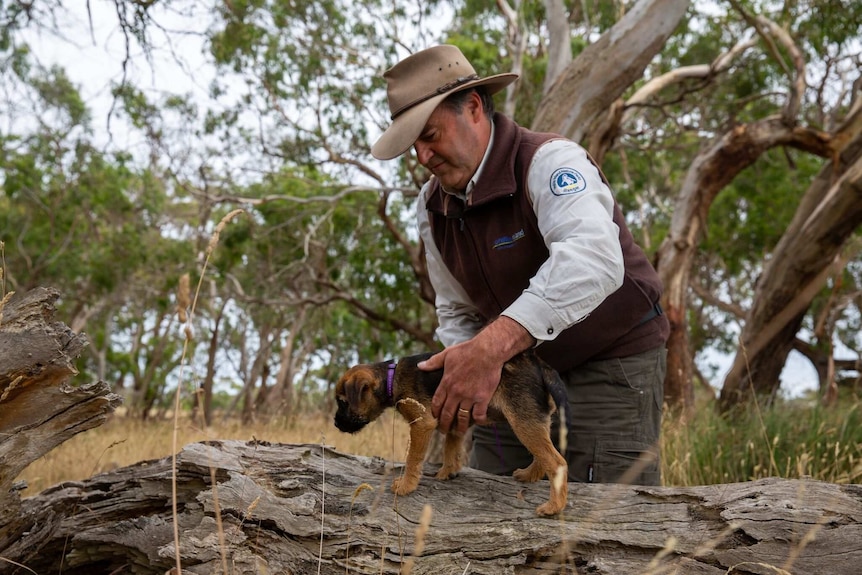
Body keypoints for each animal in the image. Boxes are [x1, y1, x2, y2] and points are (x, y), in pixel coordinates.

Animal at [334, 352, 572, 516]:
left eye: (343, 403)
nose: (336, 423)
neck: (391, 377)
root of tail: (539, 364)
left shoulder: (421, 424)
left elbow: (413, 459)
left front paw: (406, 486)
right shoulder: (456, 418)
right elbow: (451, 447)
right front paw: (447, 472)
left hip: (522, 421)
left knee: (556, 461)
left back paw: (553, 506)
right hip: (533, 420)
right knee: (543, 455)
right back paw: (529, 475)